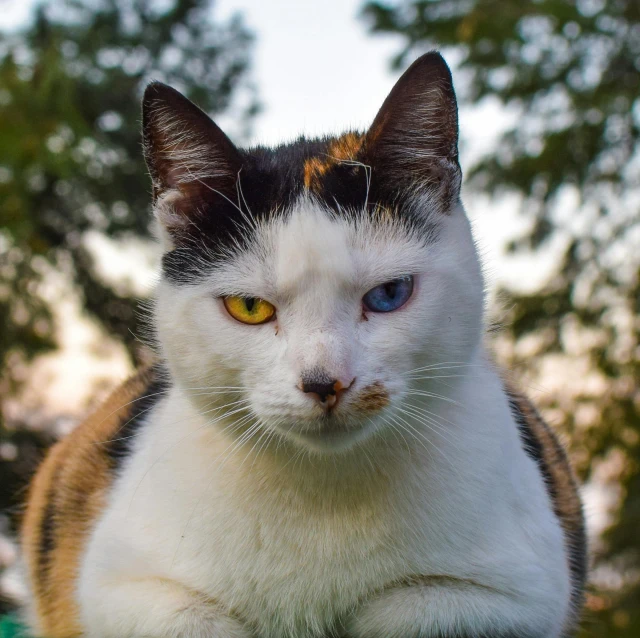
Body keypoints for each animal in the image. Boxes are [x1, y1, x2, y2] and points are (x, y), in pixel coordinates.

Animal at [20, 53, 584, 638]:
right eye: (249, 307)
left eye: (389, 294)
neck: (324, 494)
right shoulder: (119, 588)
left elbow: (409, 607)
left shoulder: (514, 594)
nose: (325, 382)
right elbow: (195, 618)